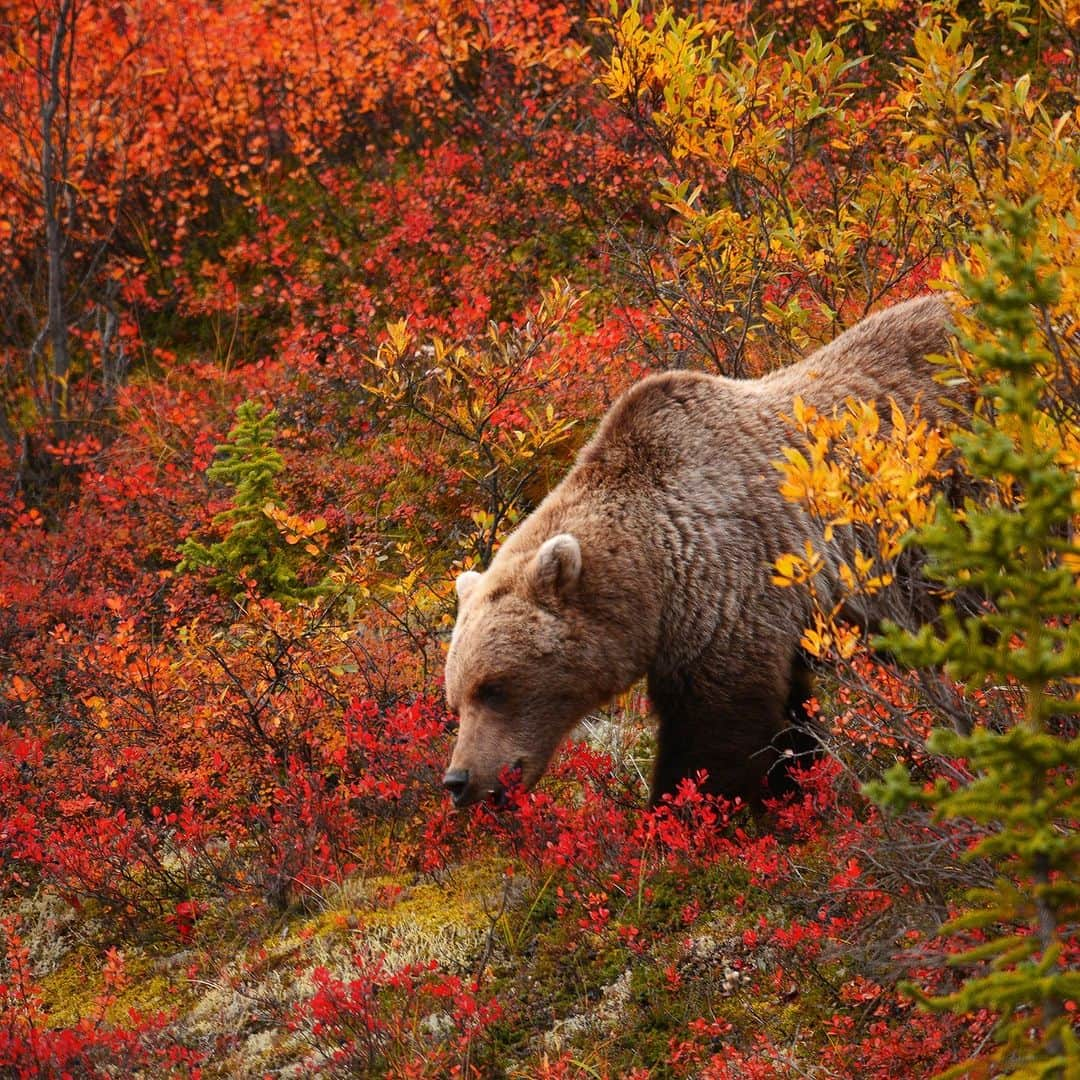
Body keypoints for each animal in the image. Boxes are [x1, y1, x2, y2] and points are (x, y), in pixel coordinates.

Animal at [438, 295, 954, 812]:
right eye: (455, 699)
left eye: (495, 688)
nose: (459, 780)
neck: (656, 574)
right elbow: (790, 725)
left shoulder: (730, 588)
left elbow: (716, 736)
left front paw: (688, 811)